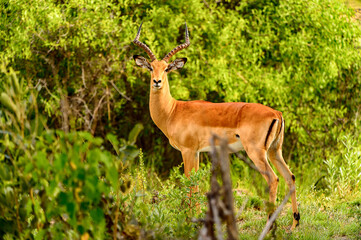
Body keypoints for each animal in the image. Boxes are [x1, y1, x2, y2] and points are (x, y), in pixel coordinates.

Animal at [131, 23, 300, 231]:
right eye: (151, 68)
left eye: (167, 69)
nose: (157, 81)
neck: (173, 111)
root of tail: (277, 113)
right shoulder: (196, 152)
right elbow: (195, 182)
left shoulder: (188, 150)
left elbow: (190, 182)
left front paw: (191, 220)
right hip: (275, 151)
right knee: (290, 177)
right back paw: (294, 224)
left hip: (256, 152)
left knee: (273, 178)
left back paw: (268, 225)